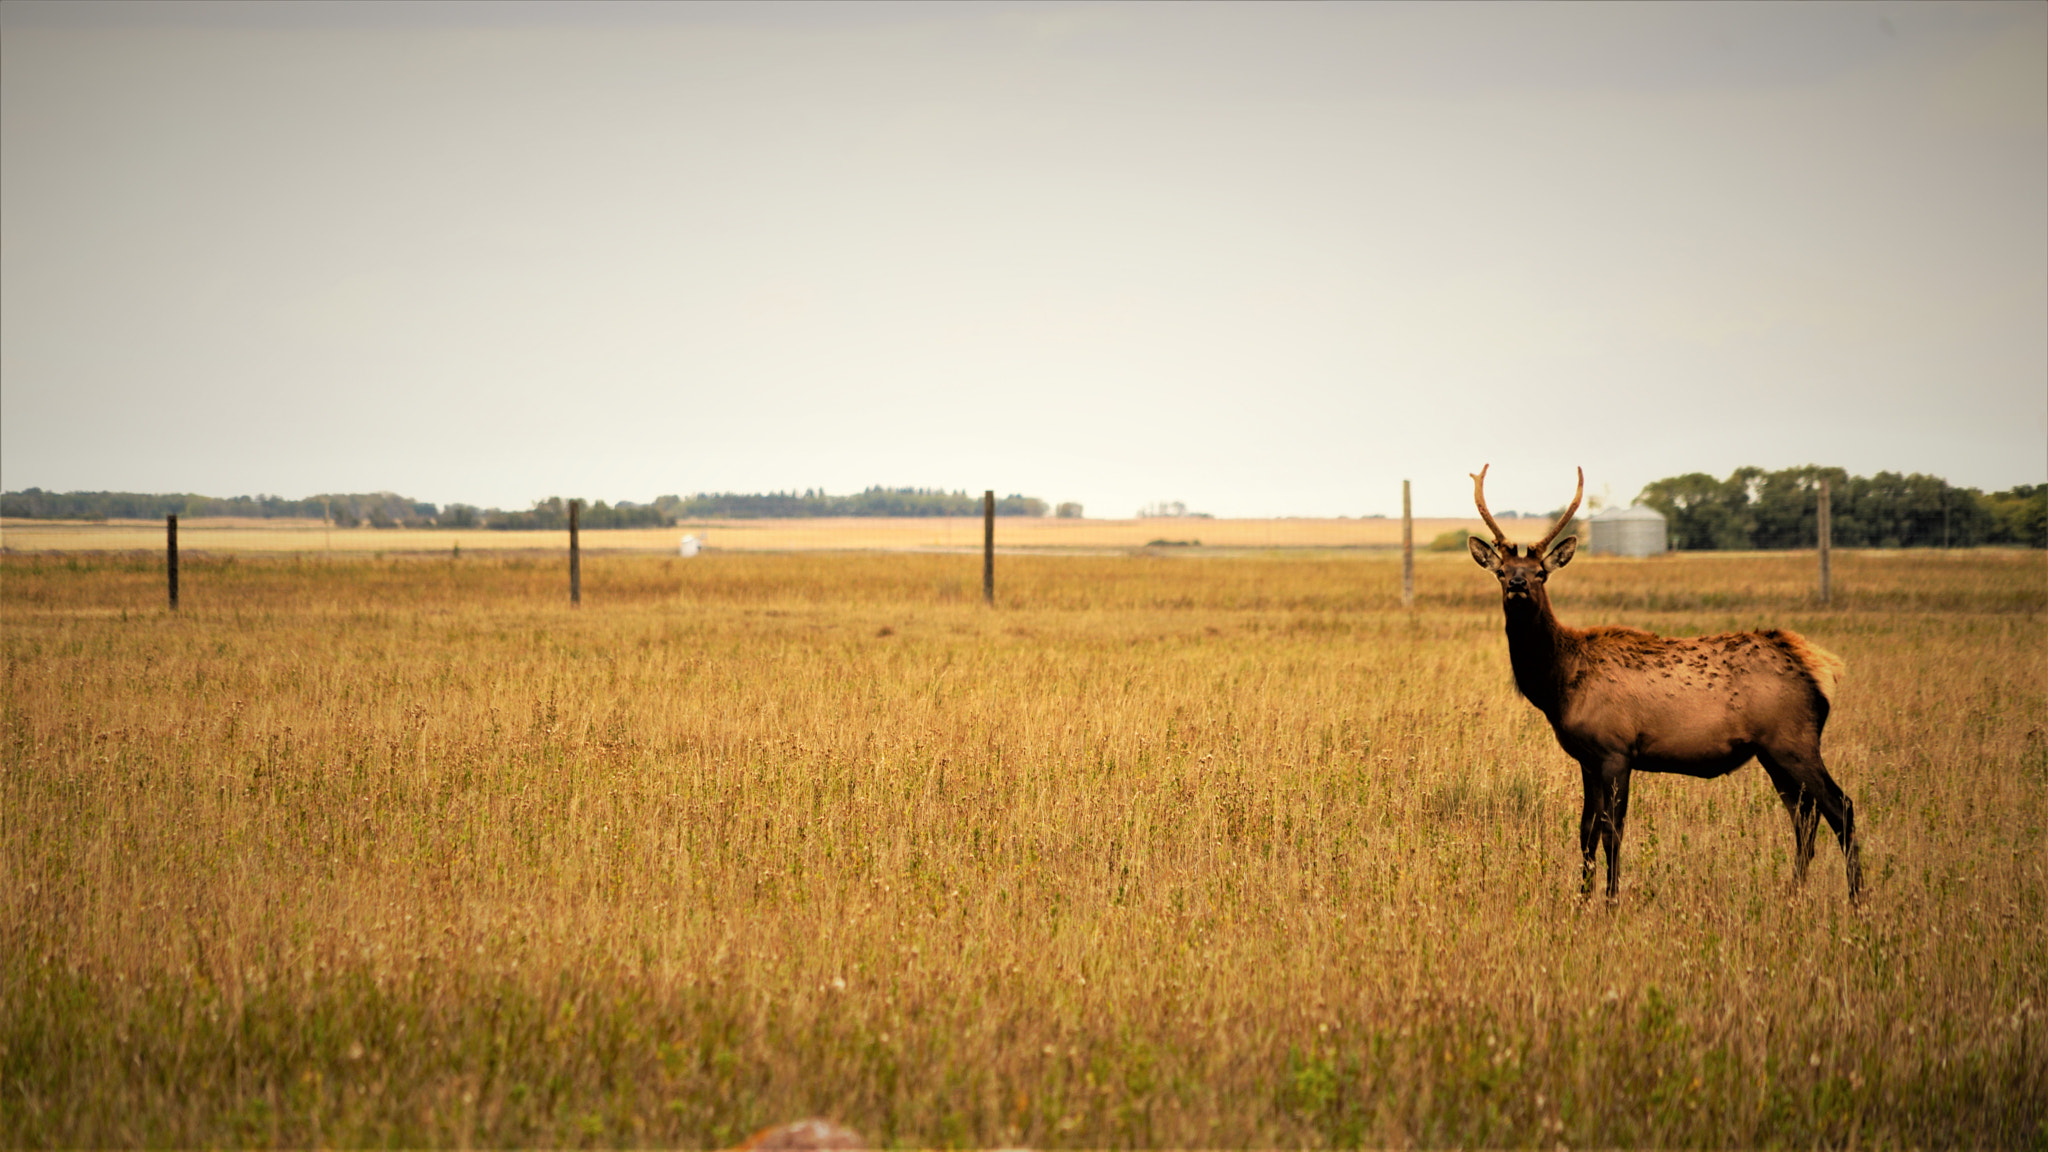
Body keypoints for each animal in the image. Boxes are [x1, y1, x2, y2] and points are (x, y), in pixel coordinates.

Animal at [1466, 461, 1867, 901]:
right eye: (1501, 571)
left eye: (1541, 573)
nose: (1518, 585)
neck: (1559, 686)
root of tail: (1822, 669)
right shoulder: (1587, 758)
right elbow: (1585, 831)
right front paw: (1582, 898)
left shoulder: (1616, 750)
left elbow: (1612, 831)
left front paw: (1611, 900)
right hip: (1773, 750)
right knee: (1804, 814)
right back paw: (1794, 893)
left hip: (1794, 740)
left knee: (1840, 807)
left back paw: (1857, 899)